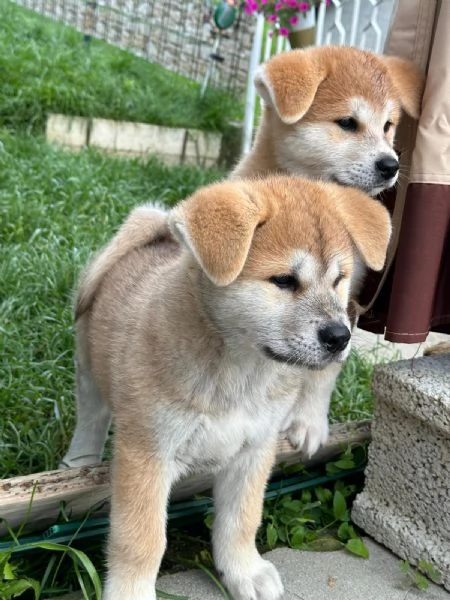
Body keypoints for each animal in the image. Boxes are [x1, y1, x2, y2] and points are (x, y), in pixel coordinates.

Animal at [73, 176, 390, 596]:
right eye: (284, 280)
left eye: (339, 279)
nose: (340, 336)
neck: (241, 374)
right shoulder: (148, 454)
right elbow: (142, 541)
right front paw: (131, 594)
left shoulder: (254, 450)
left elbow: (241, 520)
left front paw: (244, 572)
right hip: (88, 367)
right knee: (90, 418)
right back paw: (77, 461)